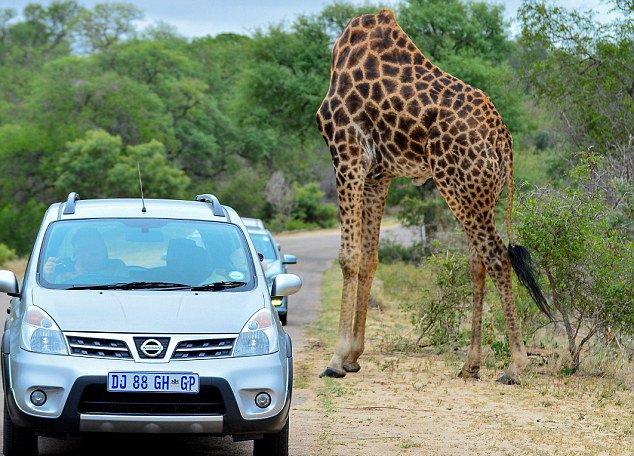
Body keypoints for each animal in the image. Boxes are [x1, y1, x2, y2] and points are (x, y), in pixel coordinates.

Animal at [316, 8, 548, 384]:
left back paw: (515, 365)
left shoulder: (346, 149)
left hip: (458, 185)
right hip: (480, 194)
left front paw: (336, 360)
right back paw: (471, 364)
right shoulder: (379, 172)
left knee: (497, 257)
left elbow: (348, 257)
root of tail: (504, 139)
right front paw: (353, 356)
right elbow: (370, 258)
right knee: (478, 262)